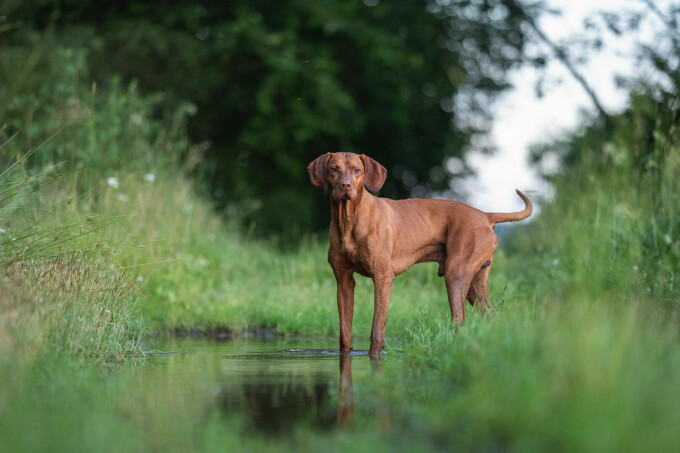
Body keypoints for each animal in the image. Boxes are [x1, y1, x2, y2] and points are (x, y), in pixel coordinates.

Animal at [308, 152, 532, 354]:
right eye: (334, 169)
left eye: (357, 170)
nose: (345, 186)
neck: (348, 220)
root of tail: (485, 215)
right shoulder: (344, 281)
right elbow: (344, 332)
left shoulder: (382, 278)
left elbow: (377, 330)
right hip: (474, 285)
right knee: (490, 316)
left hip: (456, 275)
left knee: (460, 320)